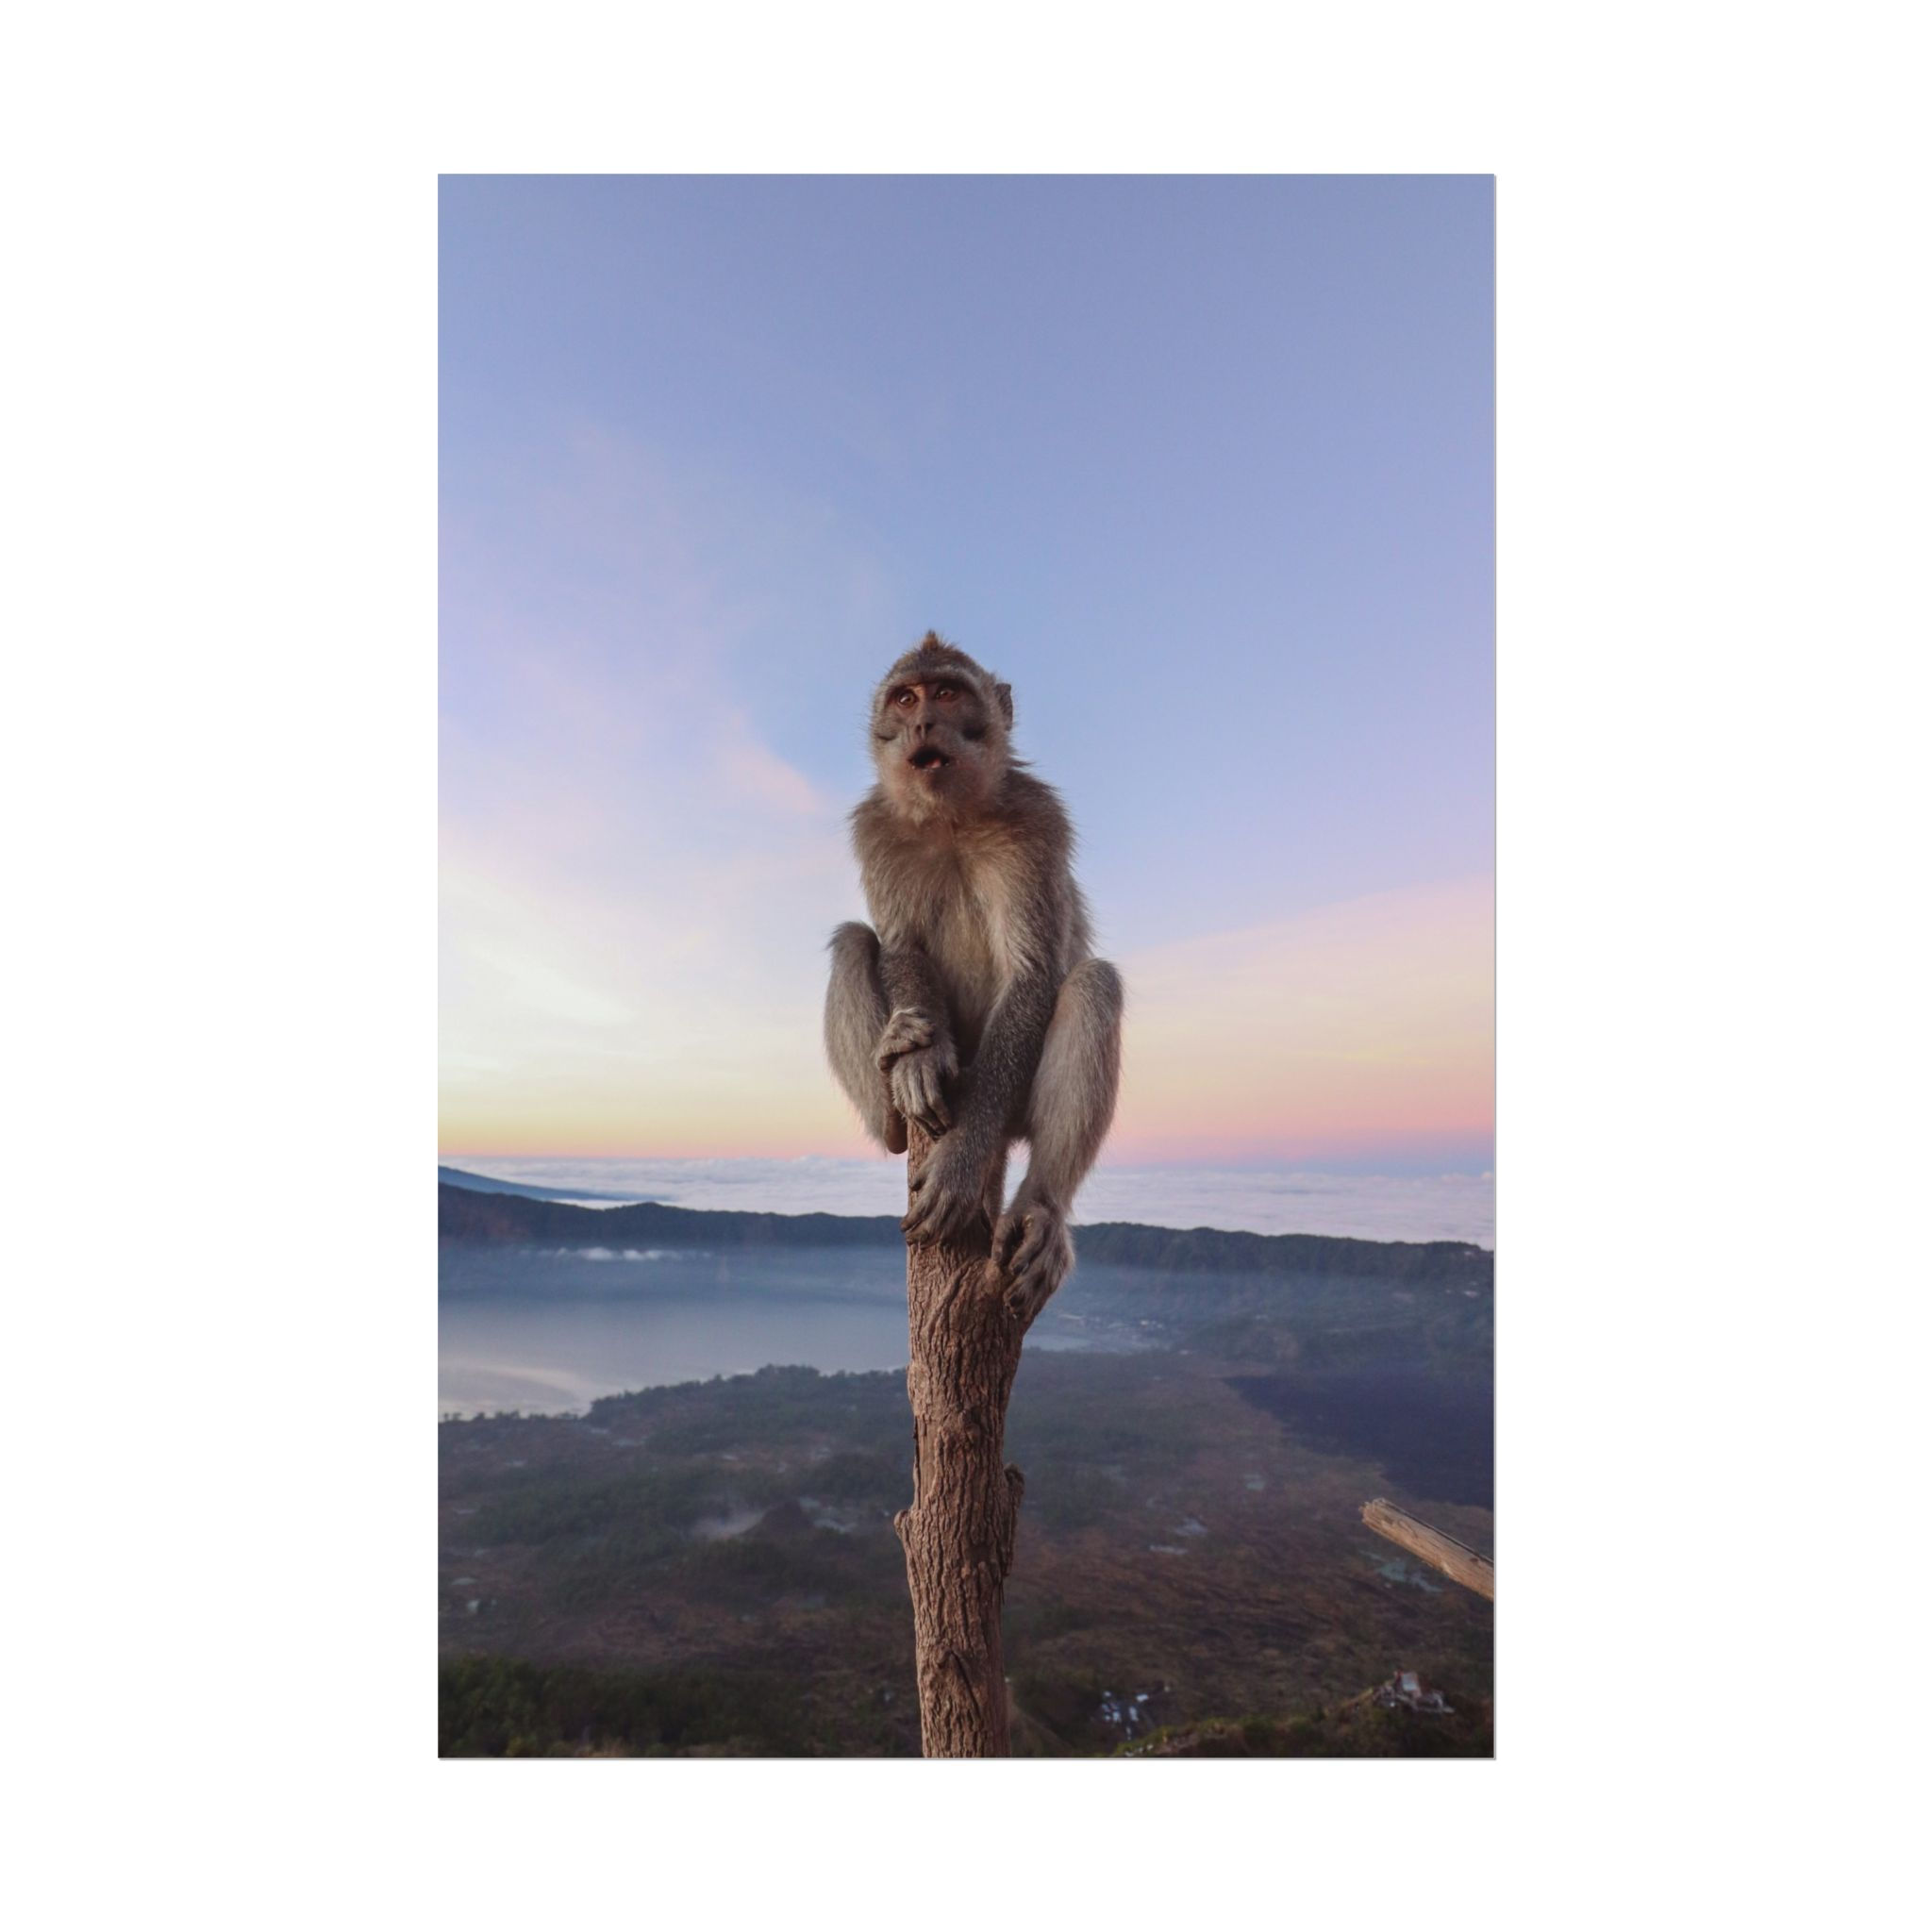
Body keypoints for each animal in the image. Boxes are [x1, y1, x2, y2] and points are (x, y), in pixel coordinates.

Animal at [823, 632, 1124, 1325]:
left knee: (1094, 985)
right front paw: (917, 1061)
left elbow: (1035, 973)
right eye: (906, 699)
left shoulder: (1037, 820)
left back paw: (1040, 1209)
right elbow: (900, 946)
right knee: (853, 942)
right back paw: (891, 1101)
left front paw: (960, 1163)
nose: (923, 725)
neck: (949, 820)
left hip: (1013, 1102)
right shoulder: (876, 827)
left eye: (947, 692)